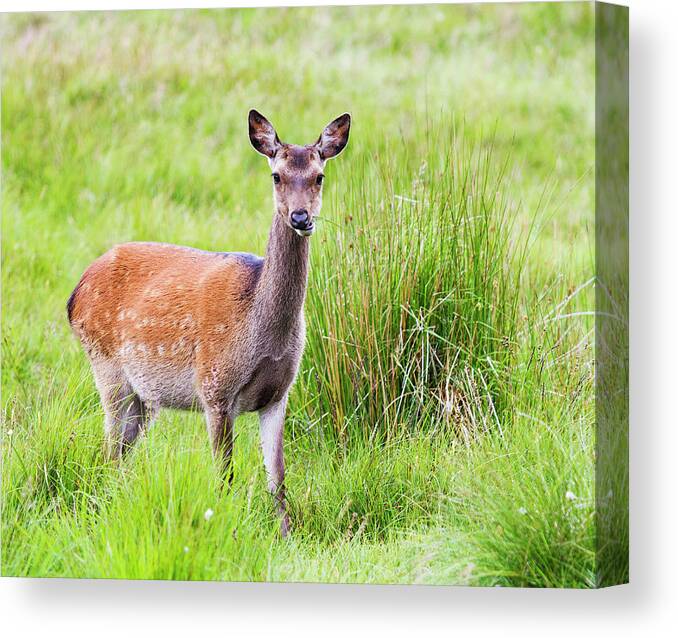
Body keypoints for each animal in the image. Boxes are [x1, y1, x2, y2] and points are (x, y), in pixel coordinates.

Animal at [66, 110, 354, 536]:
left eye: (319, 176)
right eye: (276, 175)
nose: (300, 217)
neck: (261, 333)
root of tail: (75, 294)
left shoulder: (279, 394)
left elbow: (278, 478)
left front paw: (286, 535)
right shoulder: (214, 389)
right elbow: (225, 476)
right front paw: (227, 528)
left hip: (144, 395)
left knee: (121, 451)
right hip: (105, 366)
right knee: (108, 449)